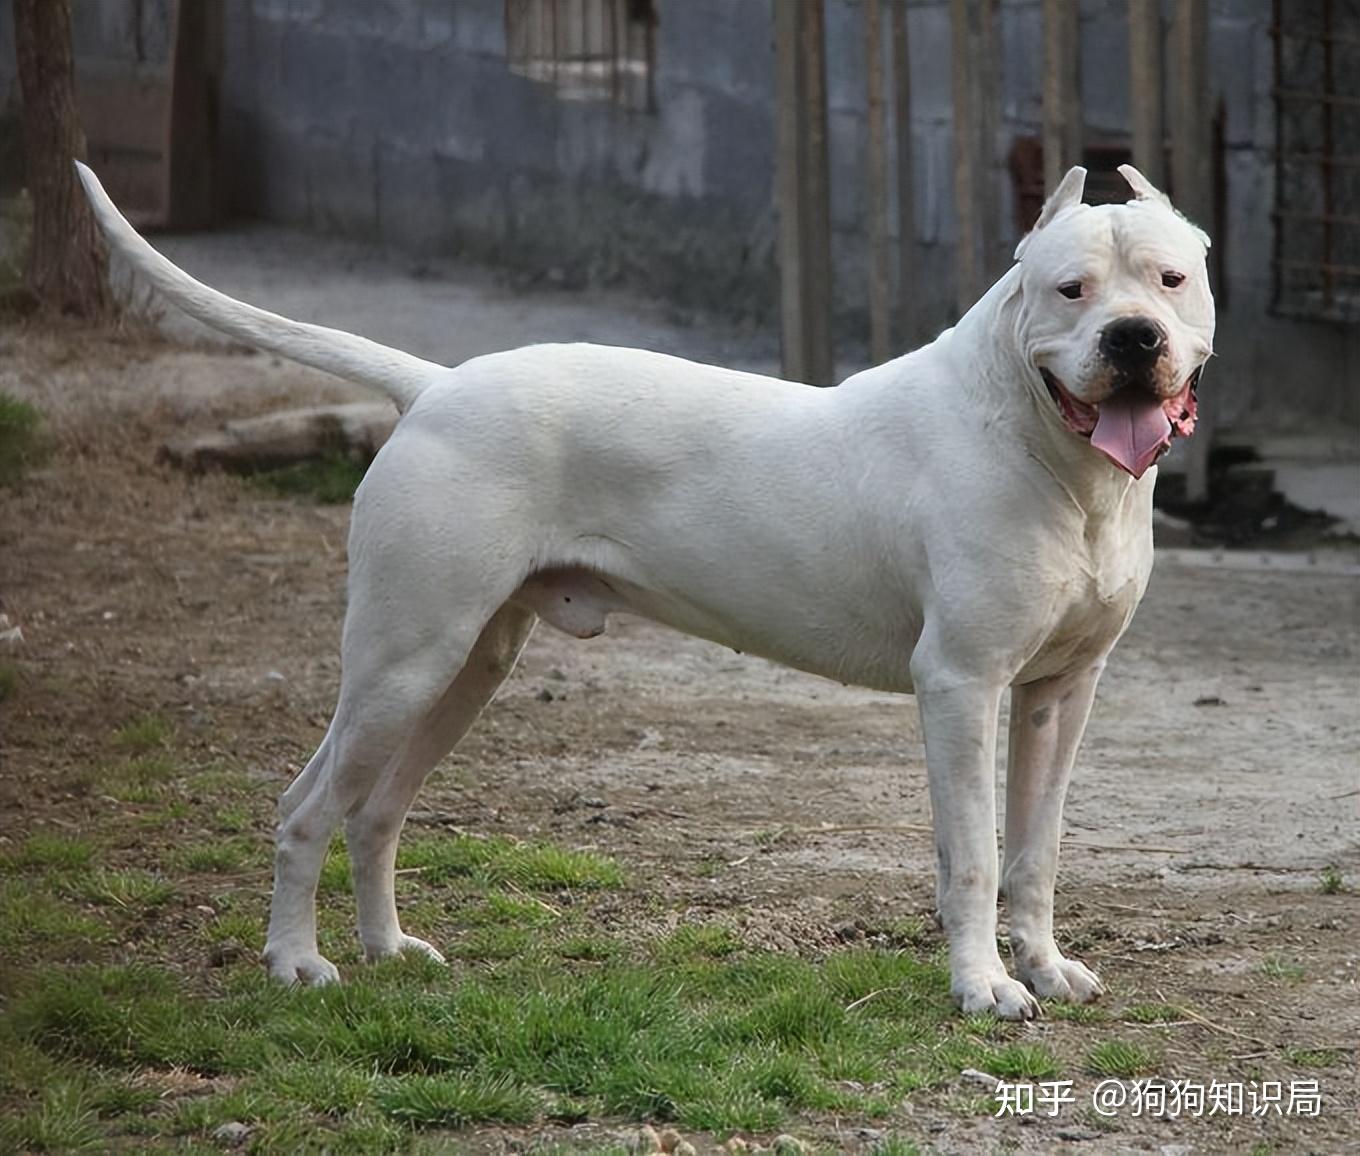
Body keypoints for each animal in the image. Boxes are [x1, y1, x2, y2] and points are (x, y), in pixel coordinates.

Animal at [79, 157, 1218, 1011]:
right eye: (1070, 290)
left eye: (1168, 281)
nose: (1134, 339)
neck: (1050, 454)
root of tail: (436, 385)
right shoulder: (962, 687)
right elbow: (976, 852)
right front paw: (982, 987)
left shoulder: (1058, 695)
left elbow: (1036, 846)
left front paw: (1045, 968)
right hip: (402, 661)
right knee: (308, 805)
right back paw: (295, 962)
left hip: (467, 667)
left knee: (377, 810)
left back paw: (387, 950)